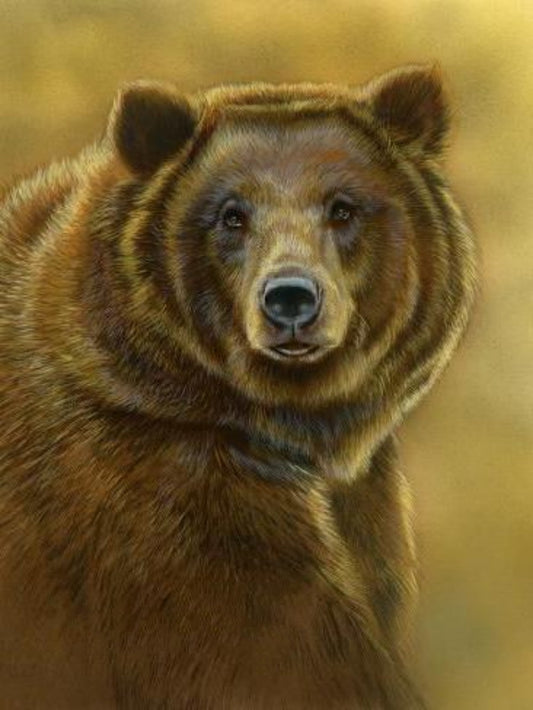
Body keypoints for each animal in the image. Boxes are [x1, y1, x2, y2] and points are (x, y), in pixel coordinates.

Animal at [0, 65, 477, 709]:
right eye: (231, 214)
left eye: (342, 207)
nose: (291, 298)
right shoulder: (161, 513)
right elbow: (277, 658)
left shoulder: (363, 508)